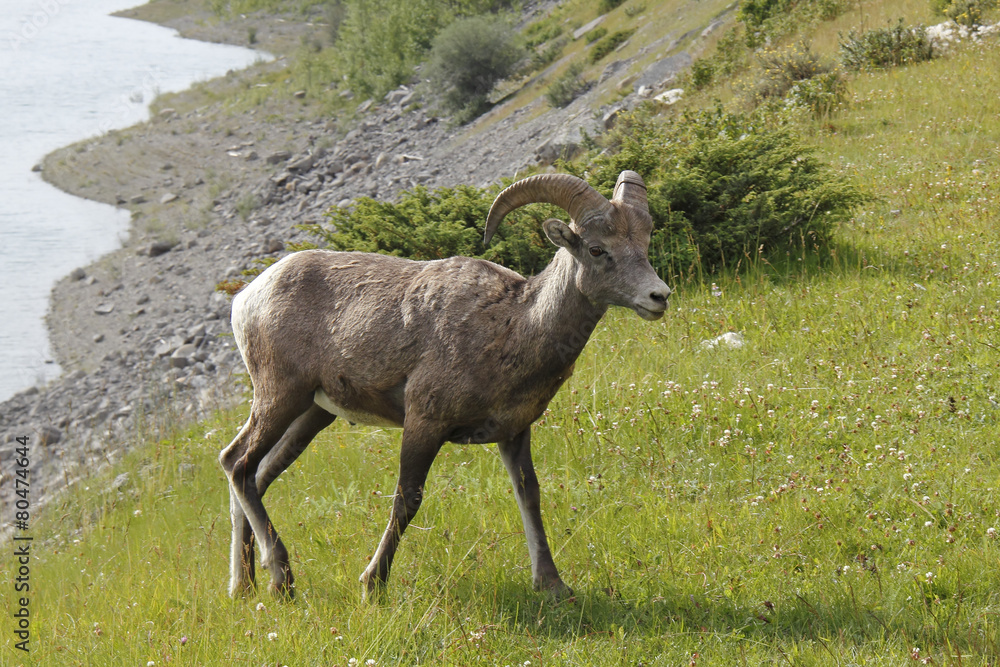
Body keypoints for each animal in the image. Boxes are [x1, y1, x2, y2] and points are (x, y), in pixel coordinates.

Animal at [220, 170, 671, 599]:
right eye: (597, 249)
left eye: (645, 241)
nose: (659, 296)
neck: (511, 326)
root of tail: (246, 298)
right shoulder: (425, 422)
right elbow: (407, 499)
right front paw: (372, 585)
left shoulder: (514, 433)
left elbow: (529, 495)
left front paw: (552, 585)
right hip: (280, 397)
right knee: (238, 464)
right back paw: (281, 579)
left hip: (312, 415)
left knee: (256, 477)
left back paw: (246, 588)